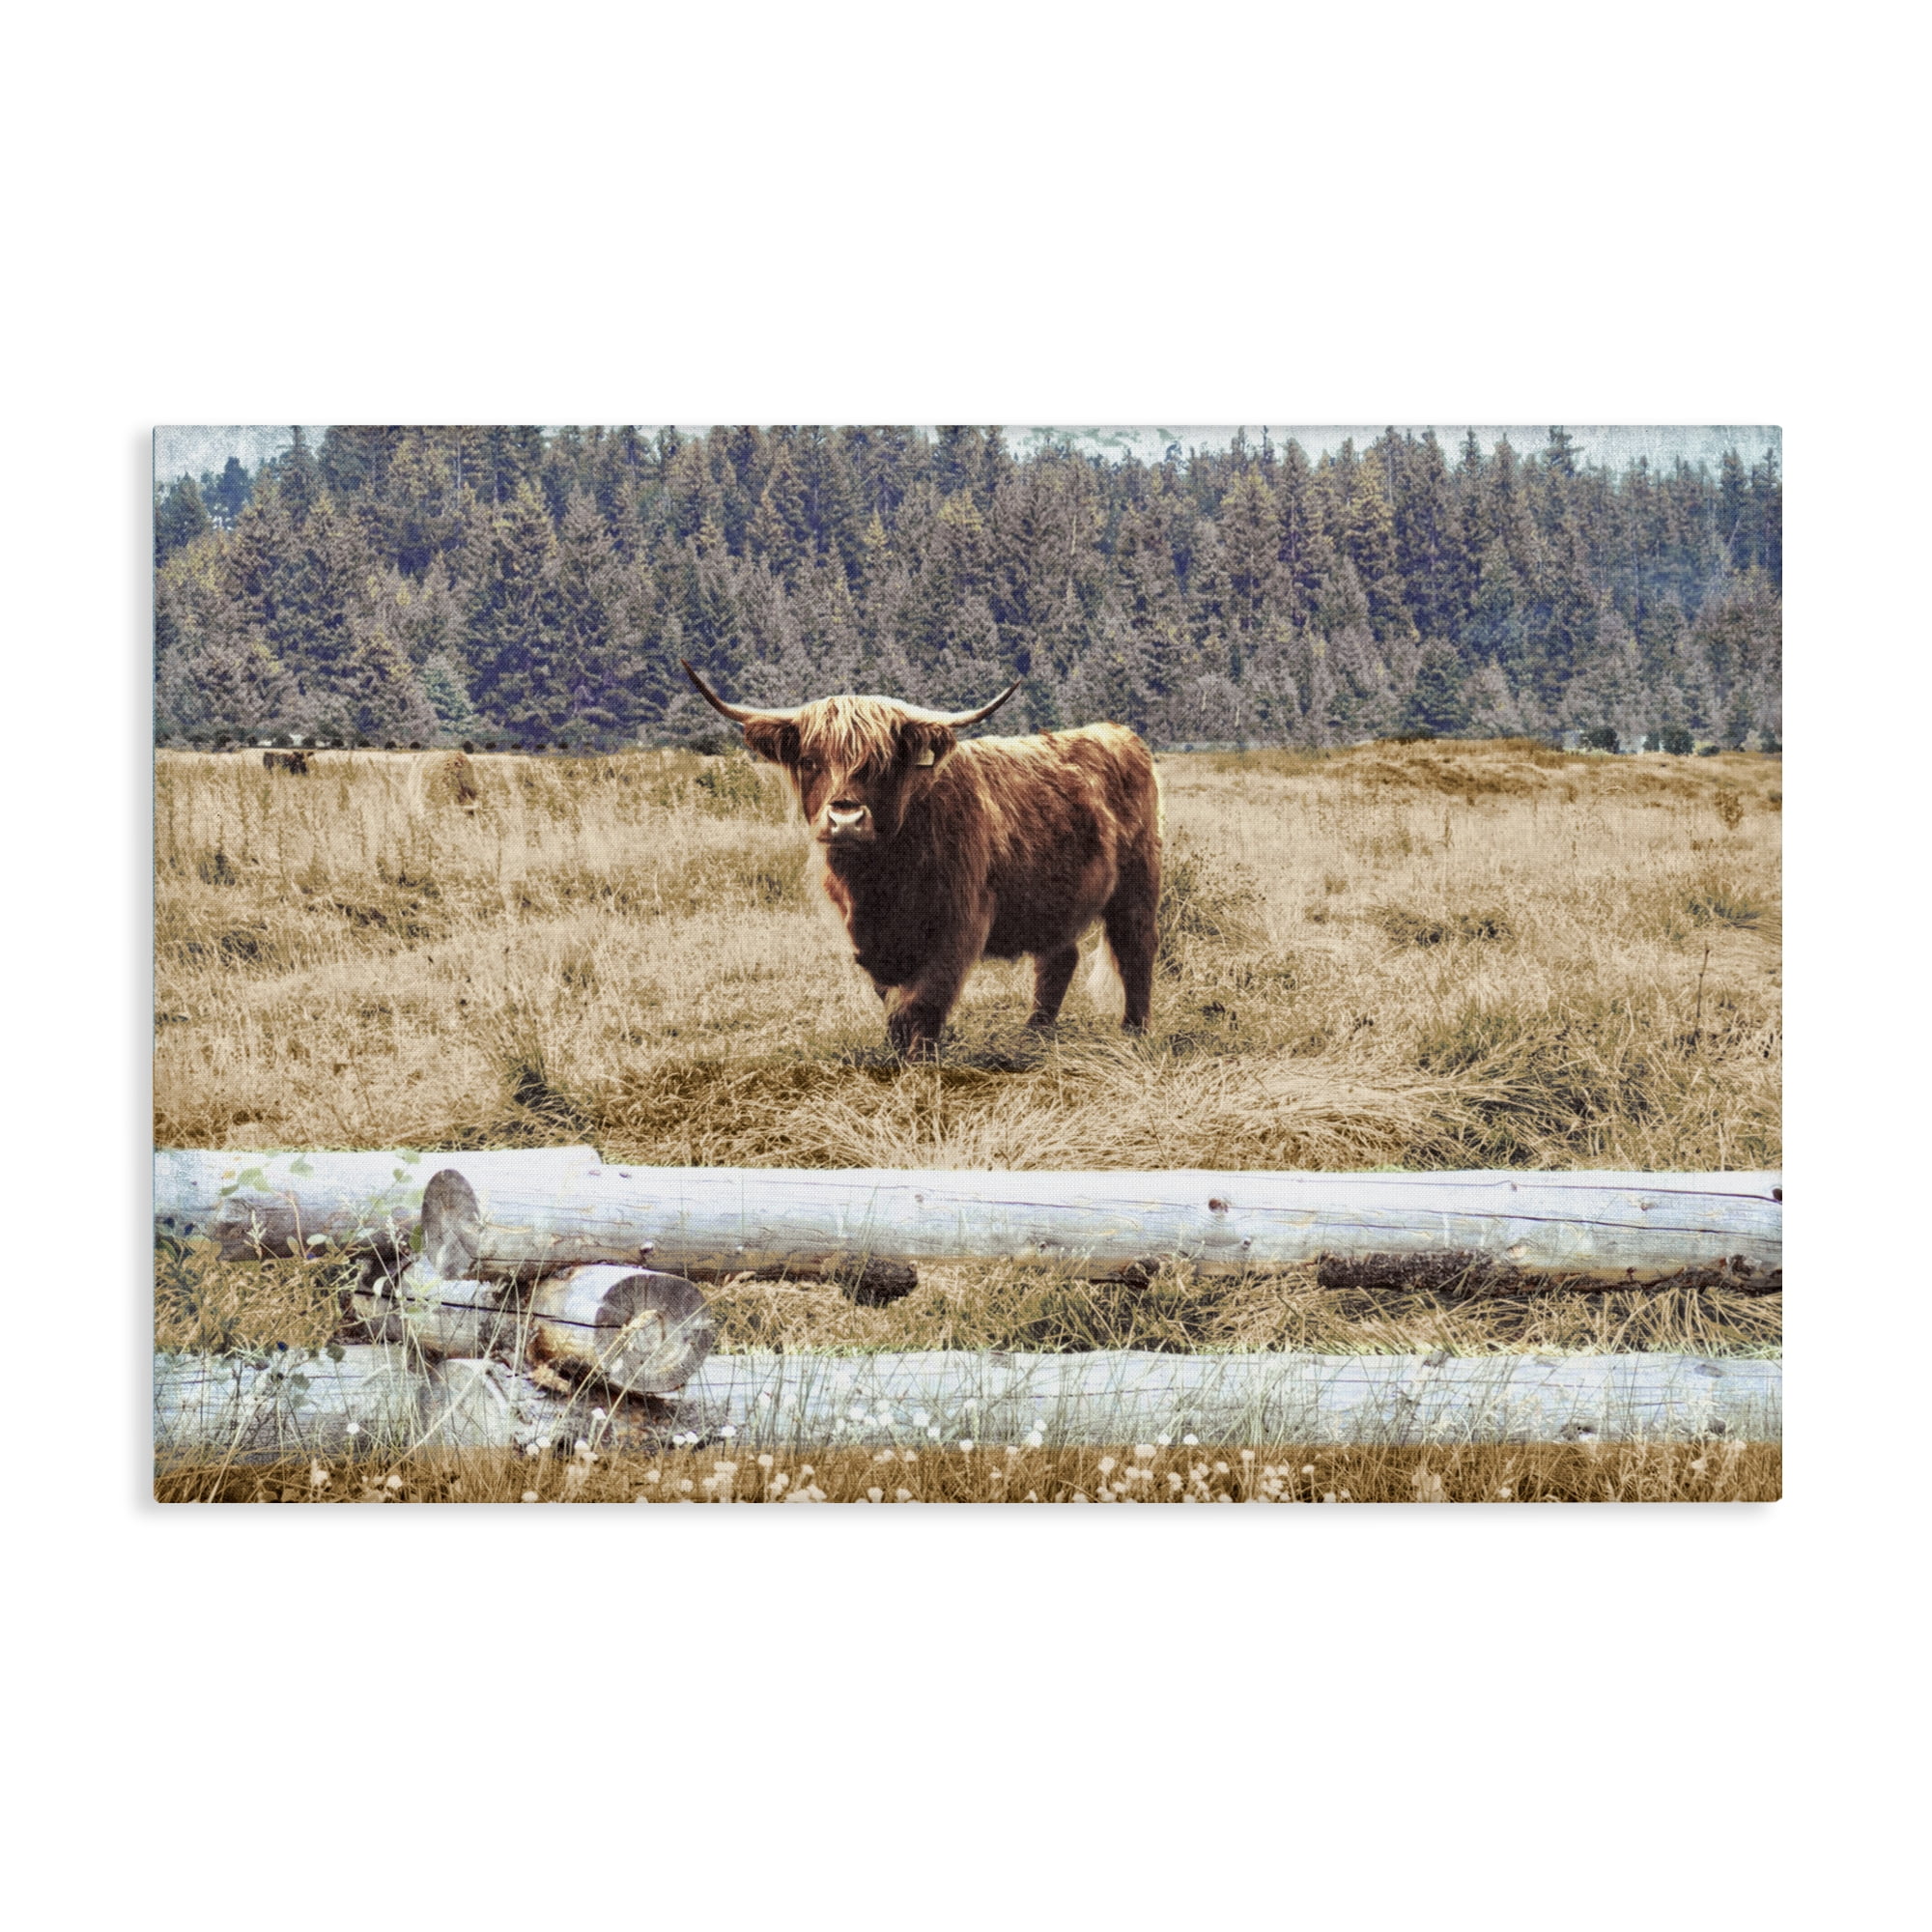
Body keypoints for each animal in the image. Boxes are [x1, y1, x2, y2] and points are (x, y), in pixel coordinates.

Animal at [682, 661, 1162, 1058]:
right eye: (809, 760)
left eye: (881, 763)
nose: (846, 819)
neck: (880, 881)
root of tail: (1118, 733)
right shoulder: (869, 939)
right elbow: (893, 1002)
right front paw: (896, 1054)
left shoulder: (958, 925)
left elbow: (924, 1001)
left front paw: (920, 1063)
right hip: (1054, 898)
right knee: (1058, 959)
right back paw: (1034, 1035)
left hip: (1138, 885)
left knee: (1135, 949)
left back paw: (1133, 1034)